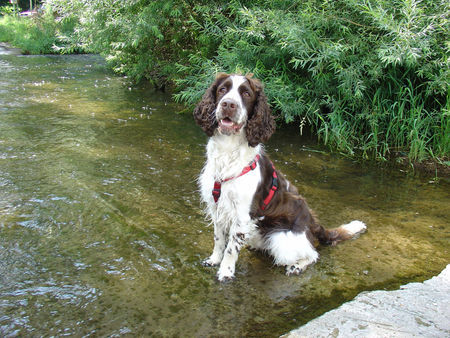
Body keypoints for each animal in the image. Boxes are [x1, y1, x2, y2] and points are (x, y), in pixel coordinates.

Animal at [193, 74, 366, 282]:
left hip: (281, 238)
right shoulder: (216, 207)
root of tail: (313, 224)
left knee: (312, 254)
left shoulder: (242, 214)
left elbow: (231, 249)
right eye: (222, 90)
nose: (228, 104)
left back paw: (296, 266)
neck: (228, 152)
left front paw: (226, 272)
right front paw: (214, 260)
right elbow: (219, 240)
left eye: (246, 93)